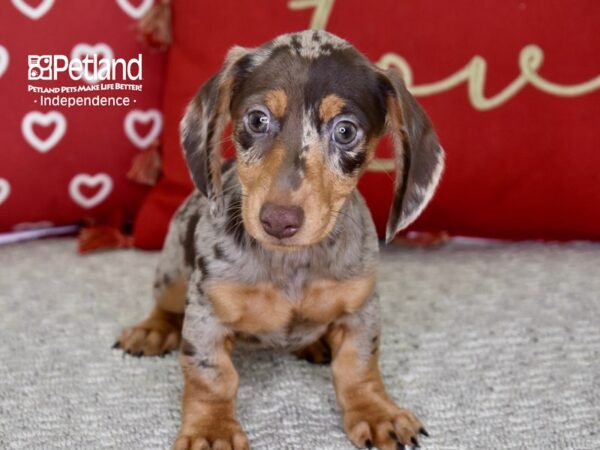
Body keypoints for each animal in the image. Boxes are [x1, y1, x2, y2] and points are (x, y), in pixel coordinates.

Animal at [118, 30, 446, 450]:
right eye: (257, 119)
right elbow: (212, 376)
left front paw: (377, 413)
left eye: (346, 131)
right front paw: (212, 429)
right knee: (165, 305)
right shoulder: (207, 314)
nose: (278, 221)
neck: (292, 263)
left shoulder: (361, 308)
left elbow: (358, 365)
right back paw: (152, 329)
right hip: (173, 271)